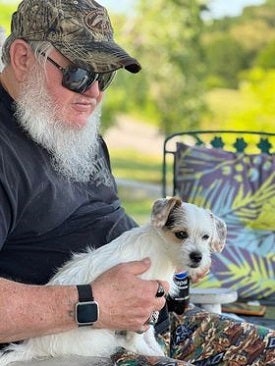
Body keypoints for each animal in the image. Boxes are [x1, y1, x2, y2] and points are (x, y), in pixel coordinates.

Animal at [0, 199, 226, 364]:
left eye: (206, 237)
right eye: (181, 234)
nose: (198, 257)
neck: (162, 250)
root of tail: (31, 346)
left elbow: (150, 333)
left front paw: (155, 349)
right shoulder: (142, 306)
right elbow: (138, 338)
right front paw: (152, 354)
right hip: (102, 337)